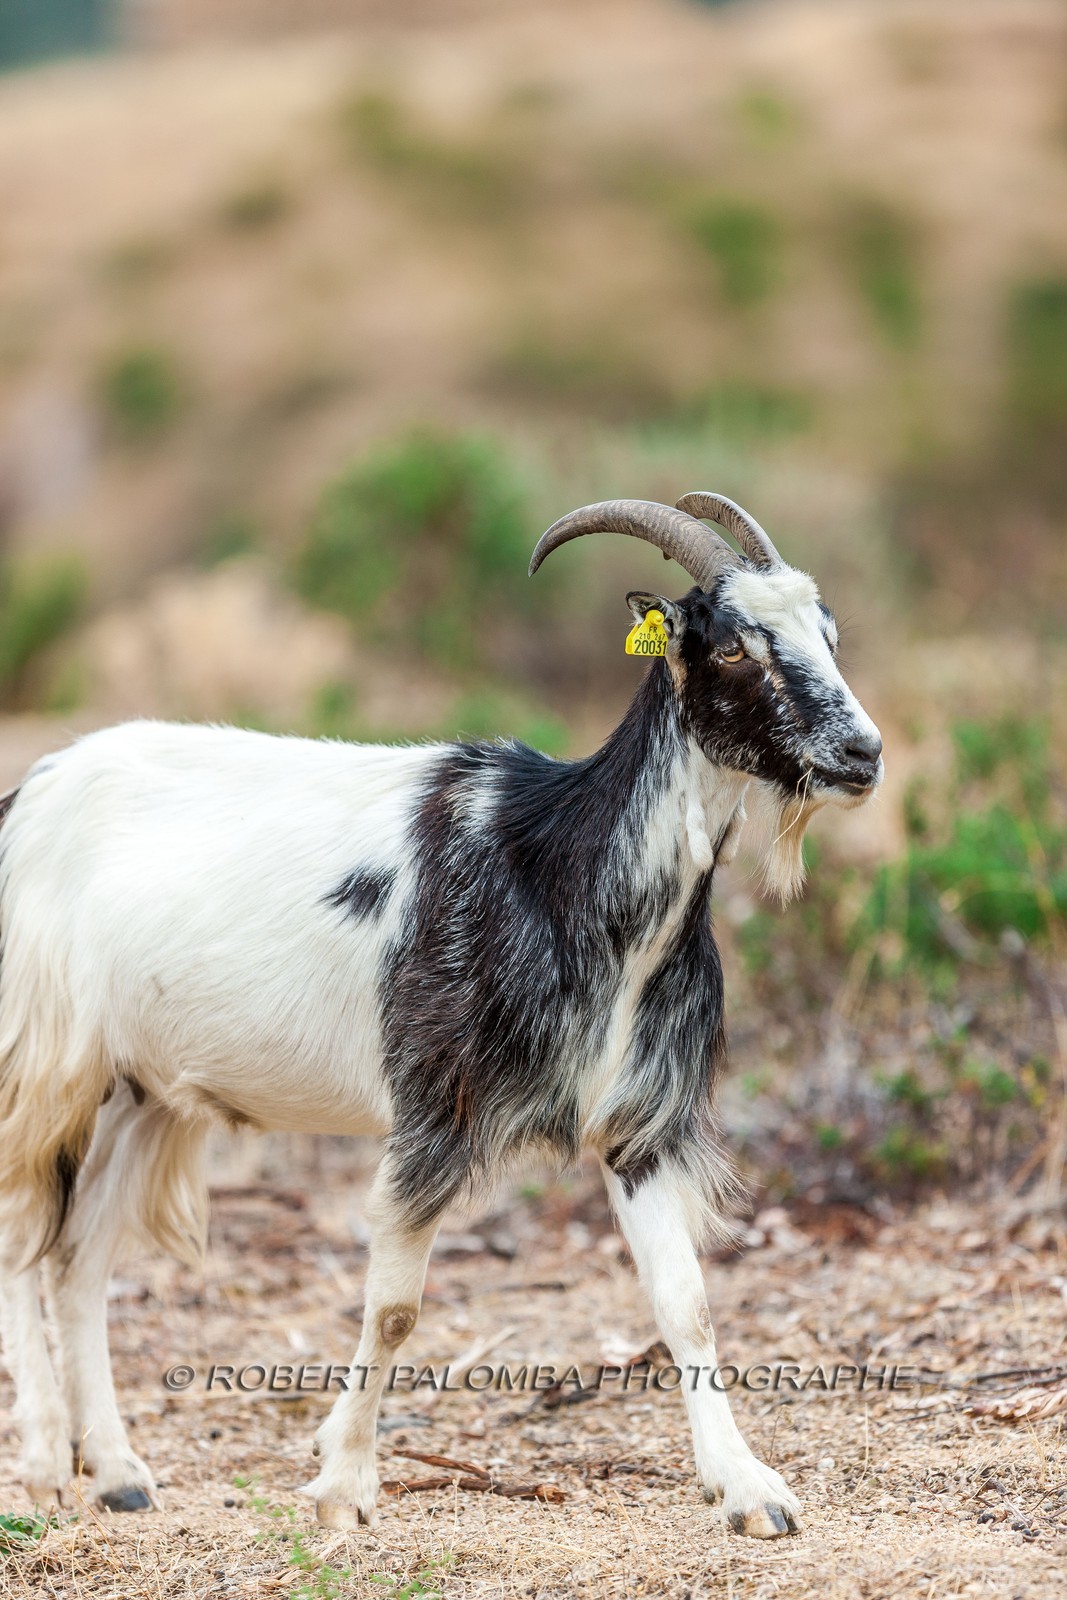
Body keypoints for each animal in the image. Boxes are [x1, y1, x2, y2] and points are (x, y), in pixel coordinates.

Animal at [0, 492, 882, 1538]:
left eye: (829, 633)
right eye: (736, 646)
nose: (862, 754)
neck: (554, 870)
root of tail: (29, 793)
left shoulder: (638, 1127)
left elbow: (687, 1303)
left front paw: (748, 1490)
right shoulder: (434, 1111)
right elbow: (395, 1309)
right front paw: (342, 1484)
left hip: (145, 1089)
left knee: (78, 1256)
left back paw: (119, 1472)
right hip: (45, 1061)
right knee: (21, 1236)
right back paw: (46, 1466)